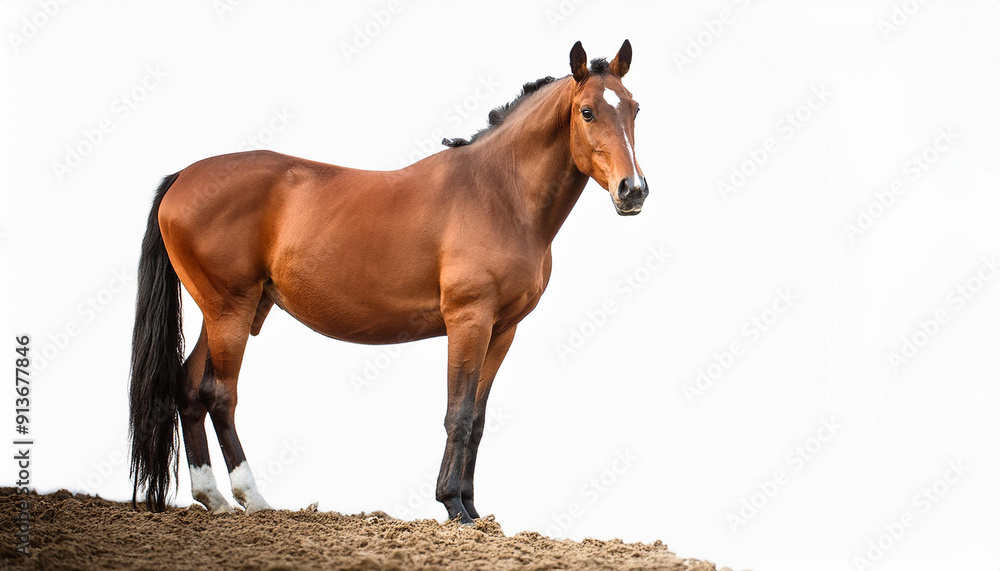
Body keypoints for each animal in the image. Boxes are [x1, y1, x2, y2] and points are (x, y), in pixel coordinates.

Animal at [129, 40, 647, 524]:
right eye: (587, 111)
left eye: (634, 108)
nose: (634, 190)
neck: (497, 192)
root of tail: (183, 177)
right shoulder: (469, 322)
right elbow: (458, 414)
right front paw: (453, 506)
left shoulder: (502, 330)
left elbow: (478, 419)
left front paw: (473, 509)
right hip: (231, 311)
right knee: (220, 395)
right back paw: (253, 499)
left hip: (224, 311)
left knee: (188, 388)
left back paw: (212, 498)